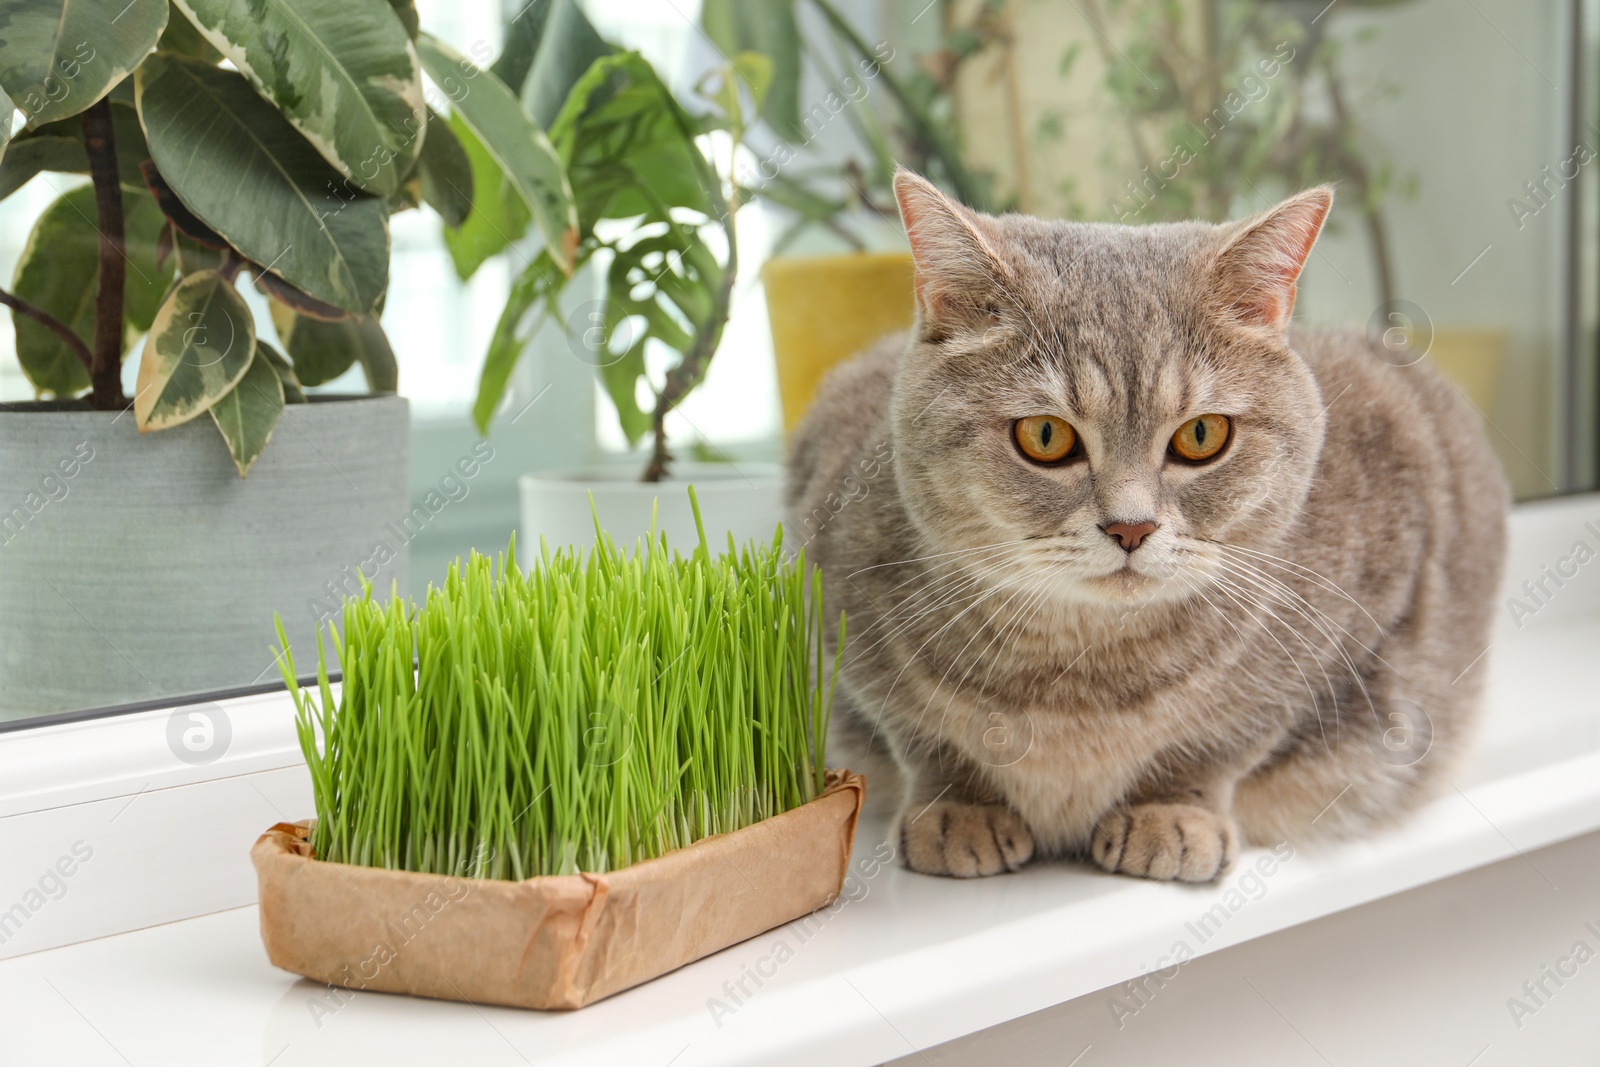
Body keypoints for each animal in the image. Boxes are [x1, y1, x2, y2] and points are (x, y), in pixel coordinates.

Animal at [793, 171, 1504, 883]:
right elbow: (924, 739)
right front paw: (959, 808)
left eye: (1201, 435)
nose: (1131, 528)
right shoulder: (839, 610)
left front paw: (1171, 814)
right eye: (1045, 436)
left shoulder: (1337, 635)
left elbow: (1218, 743)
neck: (1081, 676)